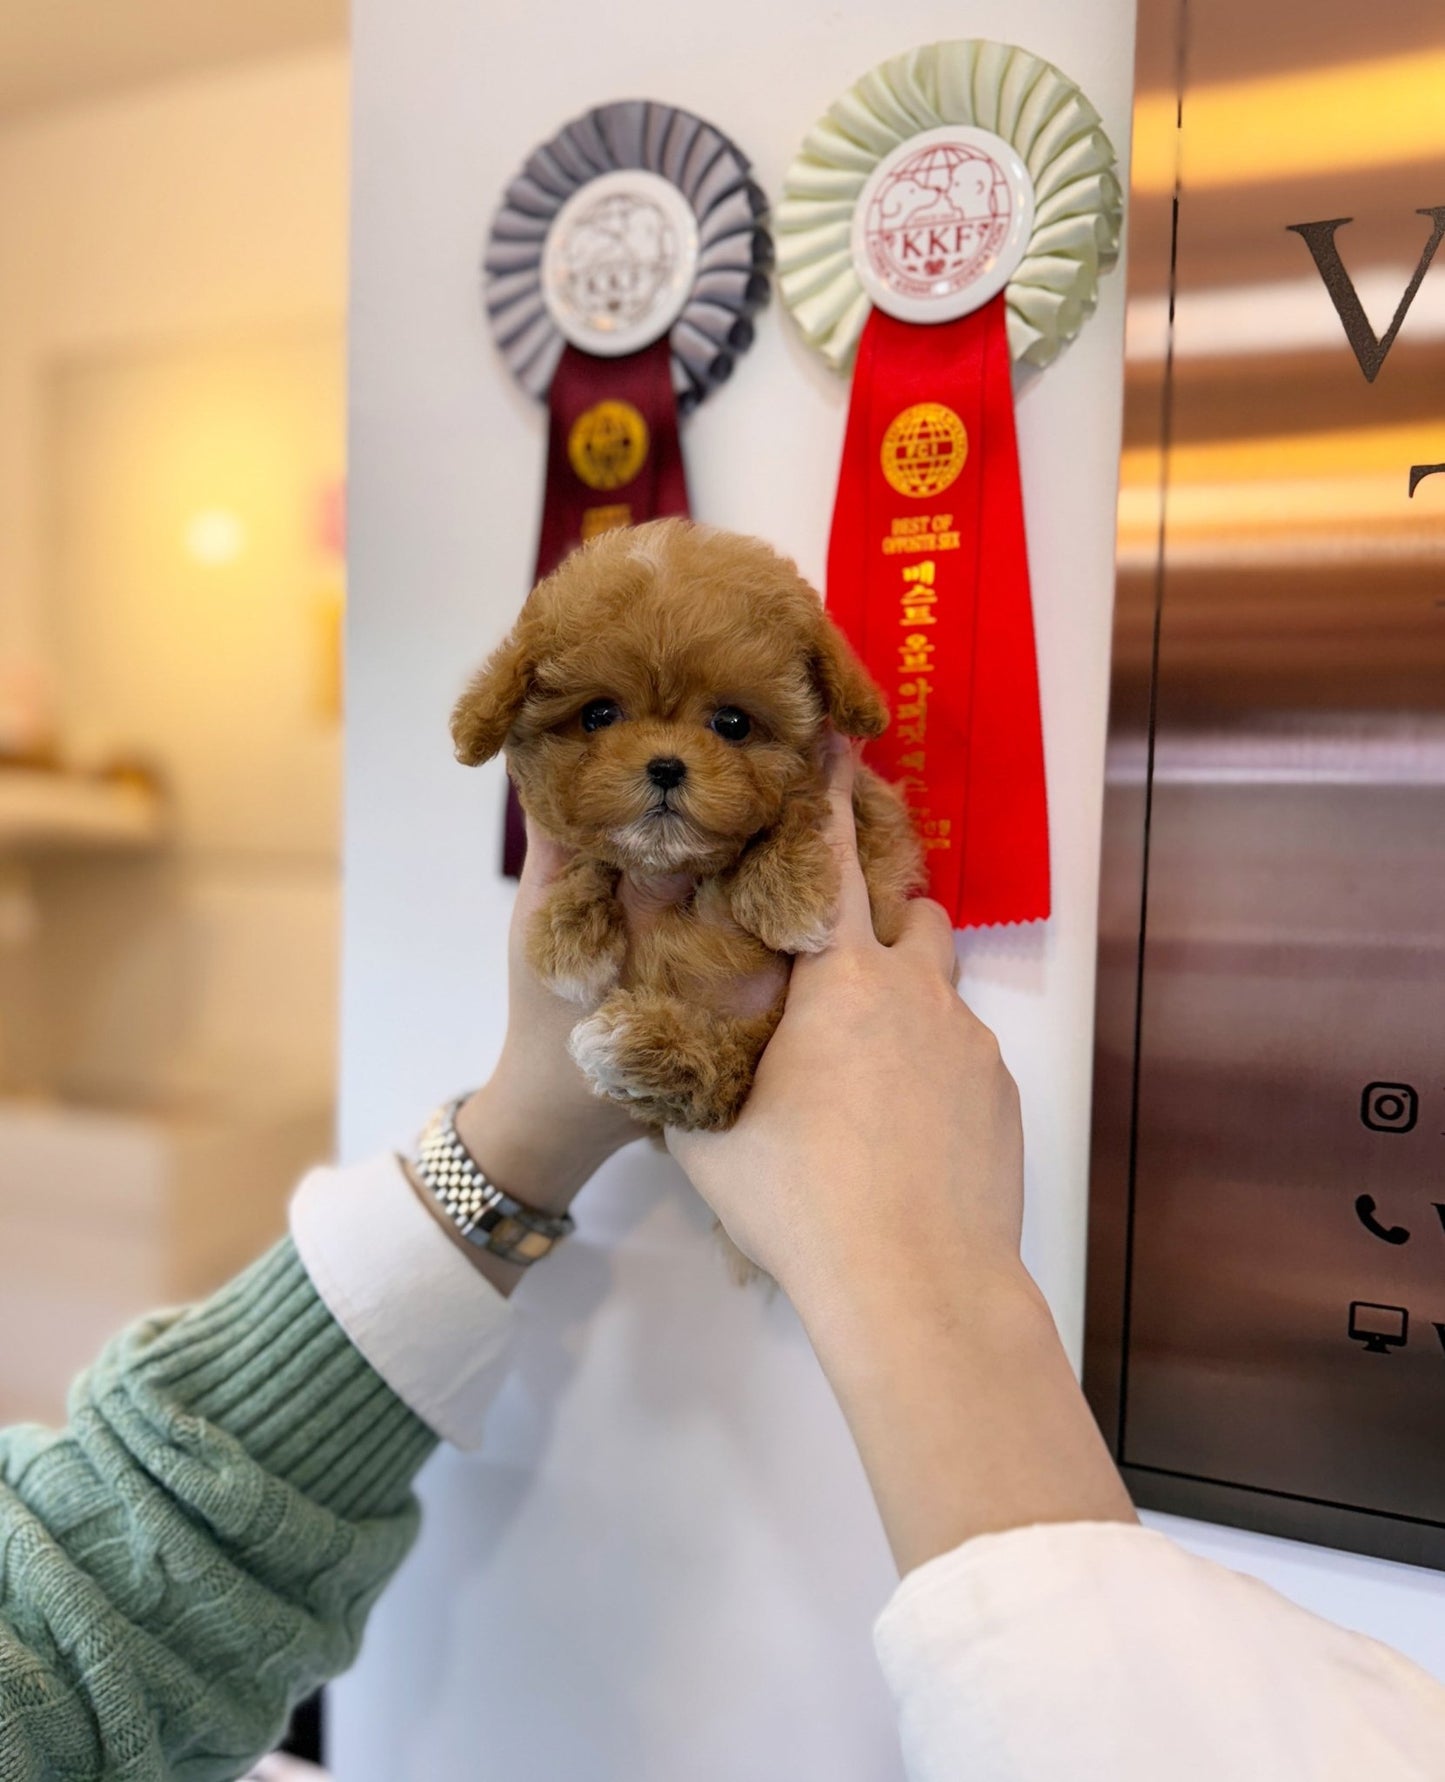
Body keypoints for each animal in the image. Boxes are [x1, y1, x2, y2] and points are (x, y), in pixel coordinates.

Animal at [452, 520, 926, 1126]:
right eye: (598, 715)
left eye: (733, 723)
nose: (665, 766)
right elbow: (586, 859)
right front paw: (570, 936)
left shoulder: (872, 829)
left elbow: (799, 810)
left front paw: (788, 895)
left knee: (724, 1079)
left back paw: (636, 1047)